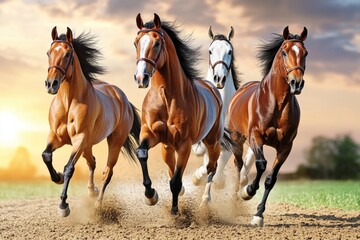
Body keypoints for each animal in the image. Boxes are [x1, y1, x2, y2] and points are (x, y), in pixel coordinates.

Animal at [42, 26, 141, 218]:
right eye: (49, 52)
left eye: (67, 54)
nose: (51, 84)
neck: (69, 103)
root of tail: (123, 98)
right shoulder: (56, 136)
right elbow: (46, 156)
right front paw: (57, 177)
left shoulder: (79, 139)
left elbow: (69, 168)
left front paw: (63, 206)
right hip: (88, 145)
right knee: (92, 161)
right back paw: (91, 191)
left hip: (113, 142)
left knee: (107, 172)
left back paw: (97, 205)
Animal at [134, 14, 225, 215]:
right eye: (135, 42)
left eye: (157, 43)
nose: (141, 78)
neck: (167, 97)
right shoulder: (151, 133)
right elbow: (142, 153)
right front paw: (150, 195)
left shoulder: (184, 144)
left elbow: (176, 181)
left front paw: (175, 212)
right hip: (167, 147)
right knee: (171, 166)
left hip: (212, 141)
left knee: (211, 167)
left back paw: (205, 202)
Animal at [193, 26, 255, 191]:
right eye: (210, 51)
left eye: (230, 51)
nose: (219, 79)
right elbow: (201, 152)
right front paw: (197, 177)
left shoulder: (231, 140)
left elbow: (218, 164)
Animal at [229, 27, 308, 226]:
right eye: (284, 52)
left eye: (305, 53)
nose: (297, 83)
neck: (277, 105)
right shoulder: (256, 137)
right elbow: (261, 165)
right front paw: (247, 191)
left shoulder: (286, 147)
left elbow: (271, 179)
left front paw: (258, 215)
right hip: (236, 139)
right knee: (238, 164)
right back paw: (237, 197)